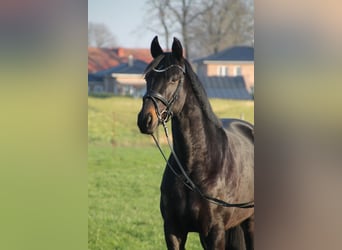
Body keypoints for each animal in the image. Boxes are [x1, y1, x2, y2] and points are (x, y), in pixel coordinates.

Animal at [137, 36, 254, 249]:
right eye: (148, 78)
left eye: (174, 79)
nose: (145, 119)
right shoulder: (173, 231)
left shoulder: (215, 233)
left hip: (250, 222)